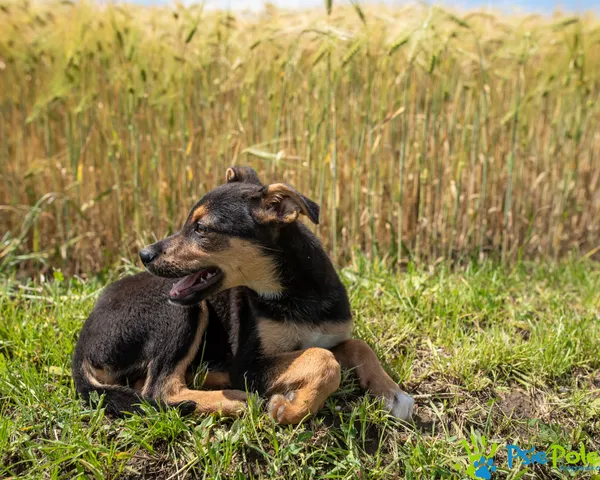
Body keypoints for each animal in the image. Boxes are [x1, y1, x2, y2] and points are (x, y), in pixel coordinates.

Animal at [72, 166, 414, 424]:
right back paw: (235, 400)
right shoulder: (248, 363)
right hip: (180, 310)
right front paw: (292, 408)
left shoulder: (330, 334)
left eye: (201, 229)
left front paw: (392, 393)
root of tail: (82, 344)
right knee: (158, 389)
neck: (293, 294)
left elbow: (357, 346)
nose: (144, 254)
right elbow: (323, 359)